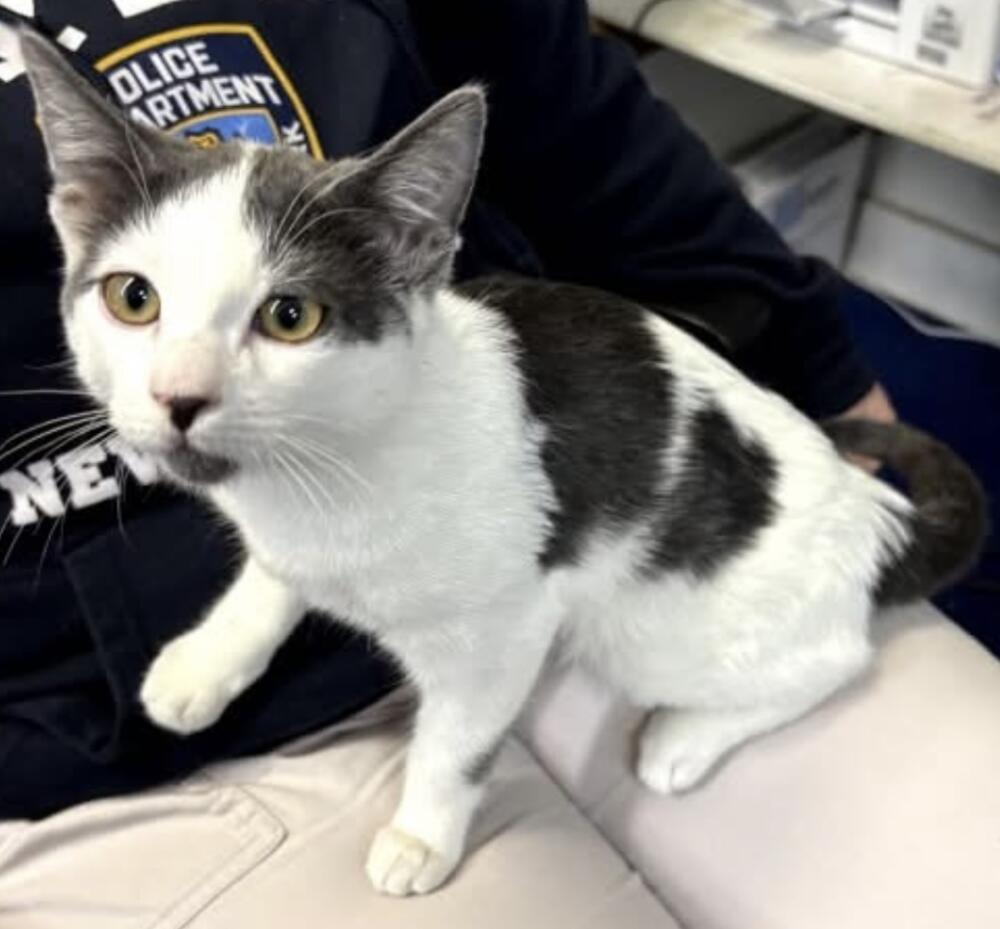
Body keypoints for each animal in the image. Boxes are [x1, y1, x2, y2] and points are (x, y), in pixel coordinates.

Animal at [19, 32, 988, 896]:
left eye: (292, 316)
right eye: (133, 298)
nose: (179, 396)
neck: (333, 467)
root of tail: (879, 515)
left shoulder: (505, 630)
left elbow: (456, 742)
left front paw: (421, 835)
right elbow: (271, 576)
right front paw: (207, 660)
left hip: (656, 629)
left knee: (840, 660)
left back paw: (683, 739)